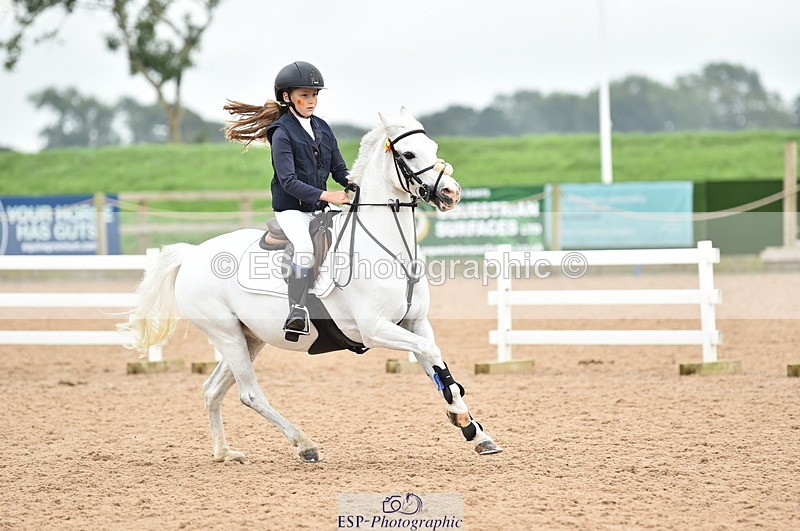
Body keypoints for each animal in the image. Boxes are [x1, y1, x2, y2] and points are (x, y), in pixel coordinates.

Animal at [118, 108, 502, 463]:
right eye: (408, 155)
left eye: (432, 147)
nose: (451, 193)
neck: (388, 247)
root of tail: (192, 255)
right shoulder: (375, 328)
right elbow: (432, 354)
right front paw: (462, 418)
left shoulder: (415, 322)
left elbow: (436, 364)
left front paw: (475, 431)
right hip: (225, 334)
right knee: (249, 393)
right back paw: (305, 444)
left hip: (249, 337)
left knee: (213, 389)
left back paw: (225, 452)